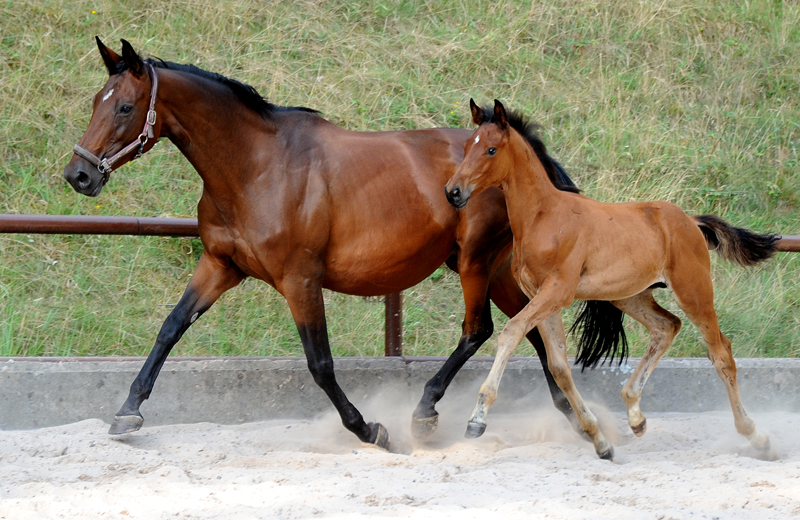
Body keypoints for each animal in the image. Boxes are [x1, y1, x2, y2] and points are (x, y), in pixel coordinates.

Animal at [64, 38, 608, 448]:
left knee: (480, 329)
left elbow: (320, 364)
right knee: (531, 328)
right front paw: (127, 413)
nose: (79, 175)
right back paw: (569, 414)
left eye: (126, 106)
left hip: (476, 261)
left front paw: (369, 429)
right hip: (489, 268)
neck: (255, 167)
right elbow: (170, 329)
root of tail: (521, 153)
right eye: (94, 102)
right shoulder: (220, 265)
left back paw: (426, 413)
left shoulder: (299, 279)